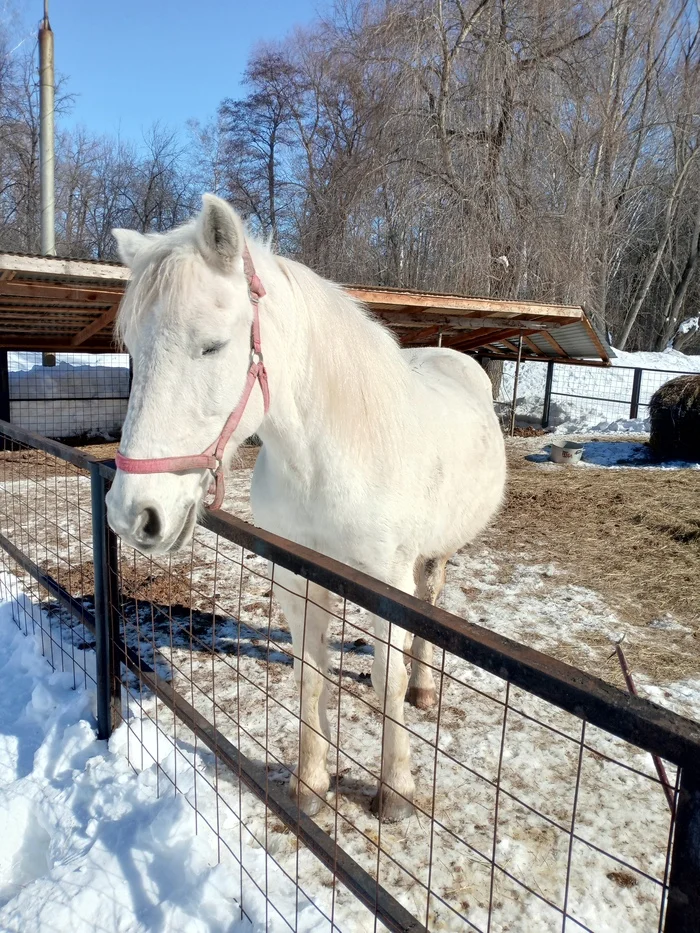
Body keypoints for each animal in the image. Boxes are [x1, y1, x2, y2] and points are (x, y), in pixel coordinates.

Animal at [106, 193, 506, 820]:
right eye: (132, 348)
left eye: (212, 345)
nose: (132, 515)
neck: (324, 461)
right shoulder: (297, 580)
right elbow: (308, 677)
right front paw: (311, 784)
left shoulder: (387, 584)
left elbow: (388, 682)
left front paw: (395, 791)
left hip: (434, 556)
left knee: (429, 603)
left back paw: (424, 687)